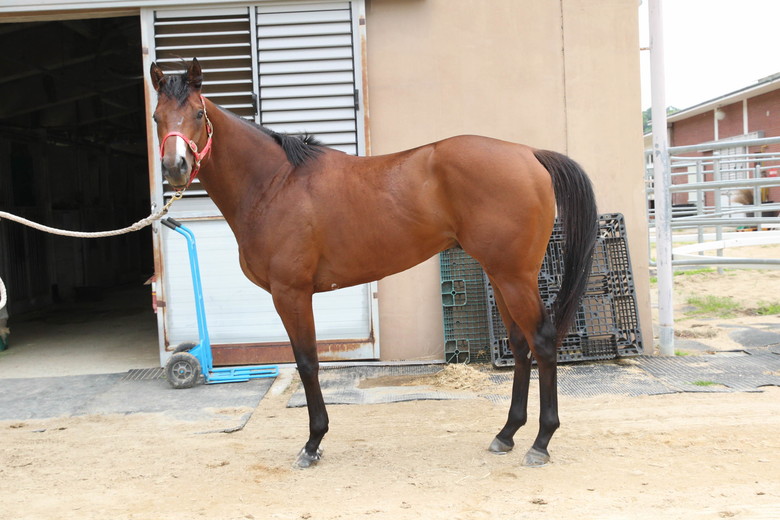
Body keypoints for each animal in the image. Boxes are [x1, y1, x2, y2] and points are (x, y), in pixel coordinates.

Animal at [150, 58, 598, 469]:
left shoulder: (291, 293)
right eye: (157, 117)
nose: (176, 167)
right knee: (521, 346)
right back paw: (506, 434)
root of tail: (528, 154)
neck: (275, 184)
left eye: (199, 113)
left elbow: (308, 362)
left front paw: (313, 444)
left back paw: (541, 442)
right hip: (501, 276)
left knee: (542, 342)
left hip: (516, 277)